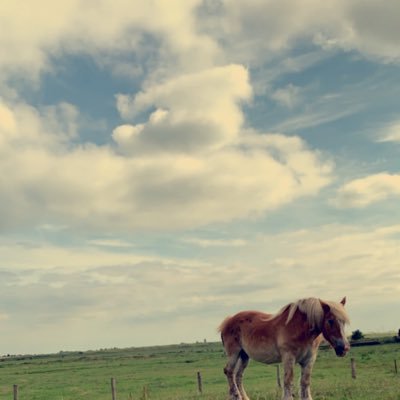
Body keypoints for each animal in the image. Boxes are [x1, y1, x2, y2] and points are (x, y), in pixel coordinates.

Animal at [219, 296, 350, 400]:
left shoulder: (309, 360)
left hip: (244, 356)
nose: (345, 348)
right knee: (229, 371)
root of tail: (227, 321)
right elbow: (288, 380)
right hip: (234, 353)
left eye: (343, 322)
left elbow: (305, 382)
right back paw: (236, 396)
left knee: (238, 375)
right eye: (330, 321)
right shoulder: (288, 357)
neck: (300, 328)